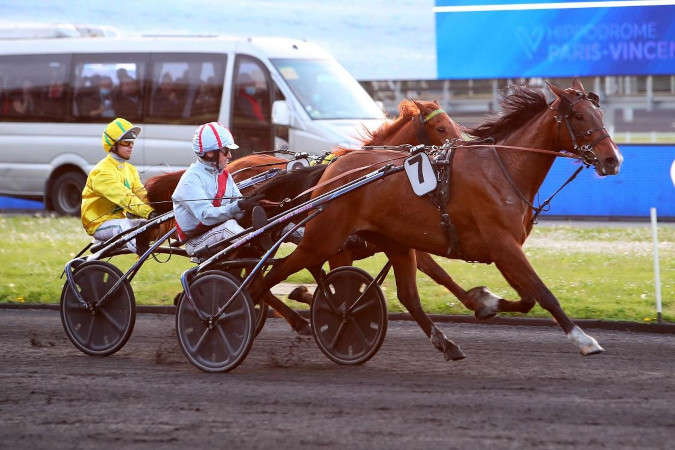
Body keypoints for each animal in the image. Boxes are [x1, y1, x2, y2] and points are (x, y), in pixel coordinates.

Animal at [250, 79, 623, 359]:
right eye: (579, 117)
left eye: (599, 113)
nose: (613, 159)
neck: (502, 168)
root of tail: (333, 170)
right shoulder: (503, 245)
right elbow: (544, 294)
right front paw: (584, 340)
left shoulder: (503, 249)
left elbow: (527, 297)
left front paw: (485, 302)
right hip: (323, 240)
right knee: (267, 277)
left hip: (393, 243)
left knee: (407, 297)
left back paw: (446, 343)